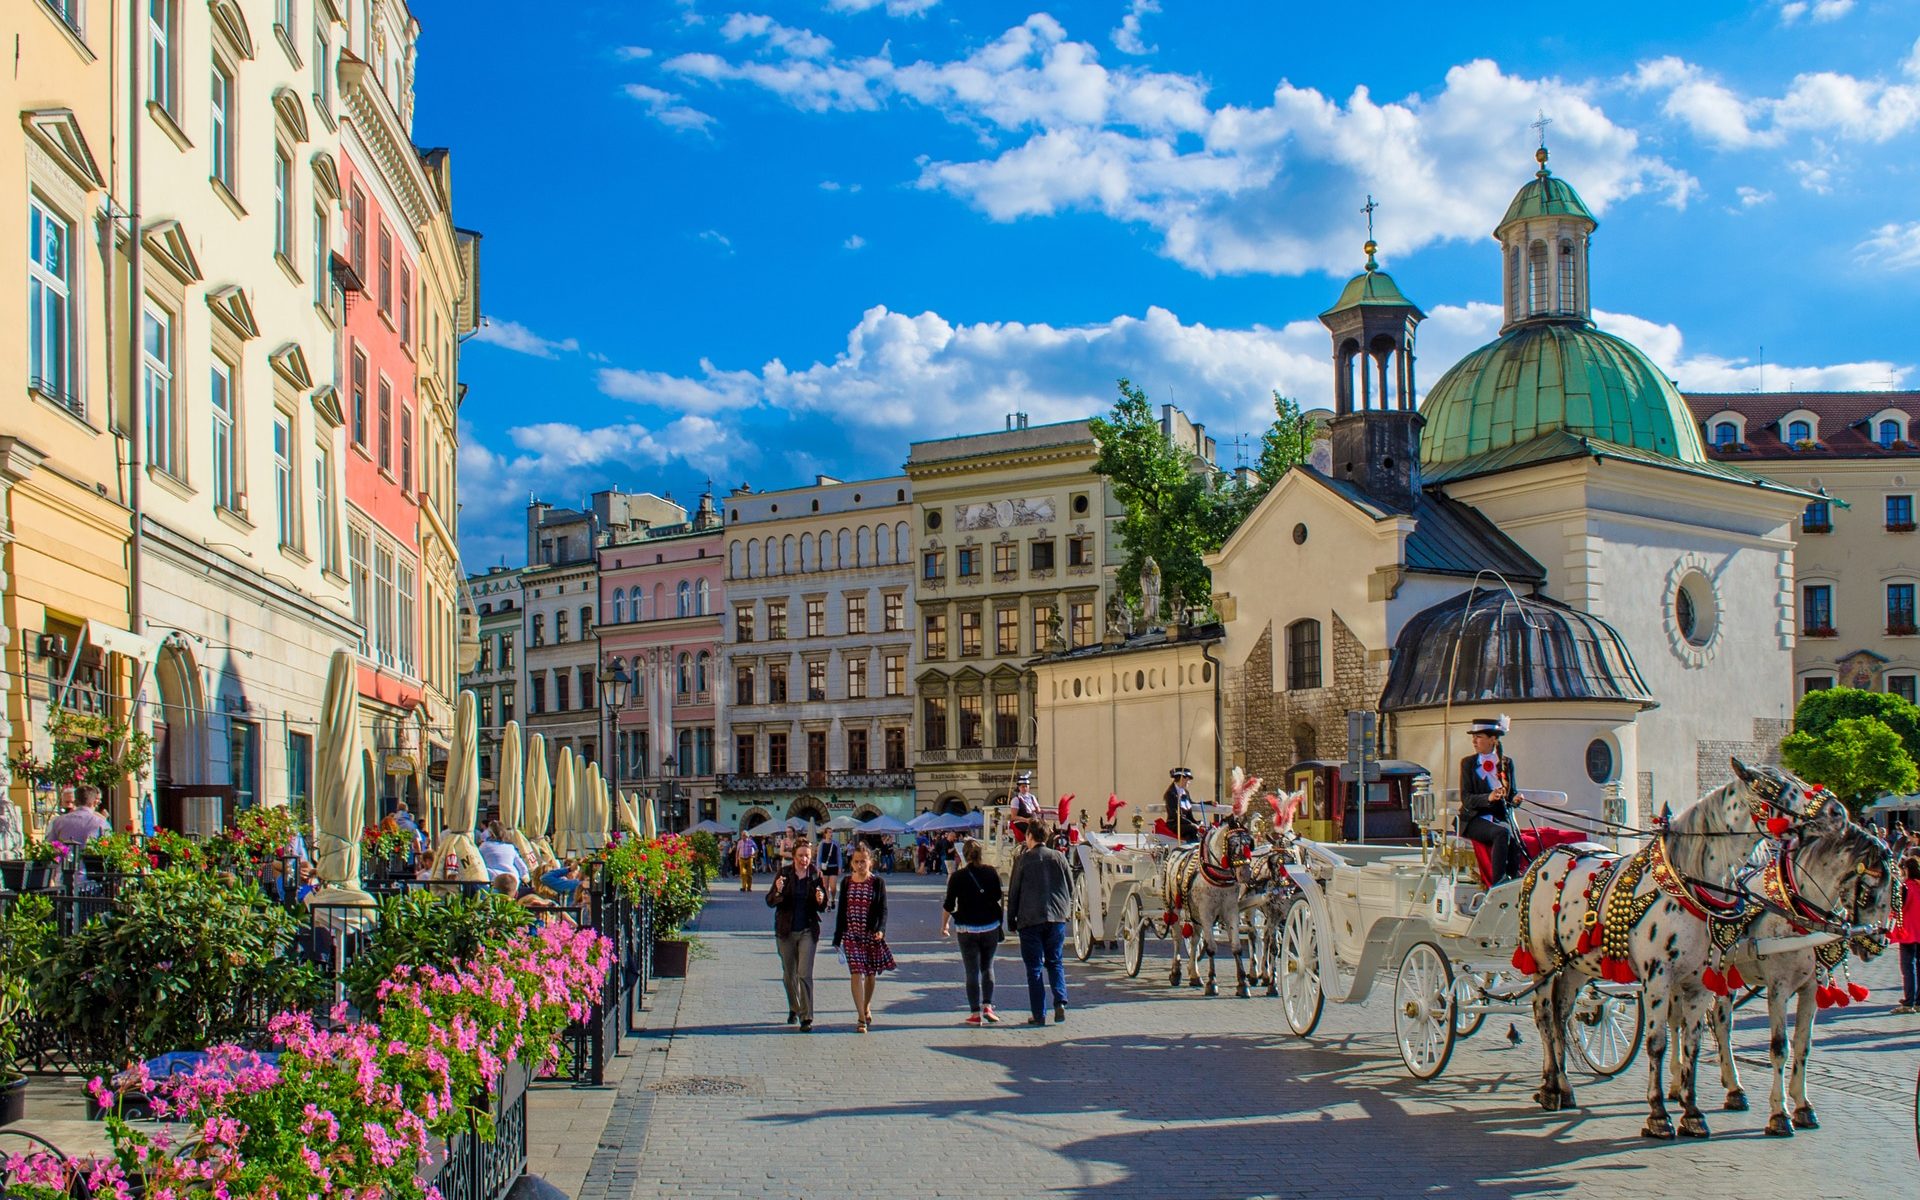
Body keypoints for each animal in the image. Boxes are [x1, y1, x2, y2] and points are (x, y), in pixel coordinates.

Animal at [1512, 752, 1812, 1136]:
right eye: (1775, 790)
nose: (1832, 813)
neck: (1690, 884)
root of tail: (1543, 857)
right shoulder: (1658, 976)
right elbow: (1656, 1043)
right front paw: (1657, 1114)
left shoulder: (1701, 982)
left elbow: (1693, 1043)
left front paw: (1693, 1113)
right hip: (1542, 960)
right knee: (1545, 1016)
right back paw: (1549, 1088)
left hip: (1576, 966)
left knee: (1562, 1016)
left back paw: (1564, 1087)